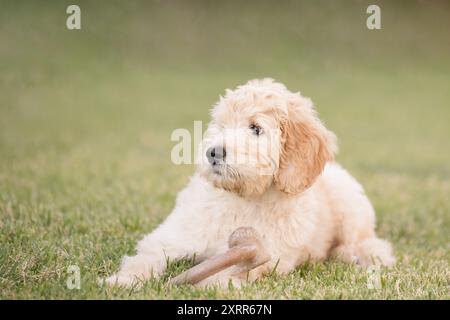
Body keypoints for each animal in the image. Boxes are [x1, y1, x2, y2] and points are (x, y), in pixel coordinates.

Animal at [105, 78, 394, 288]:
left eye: (256, 128)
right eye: (221, 126)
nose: (213, 152)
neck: (243, 198)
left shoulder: (269, 256)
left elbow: (229, 272)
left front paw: (210, 286)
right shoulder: (176, 234)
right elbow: (148, 255)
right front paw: (123, 280)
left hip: (350, 204)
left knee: (362, 238)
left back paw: (365, 254)